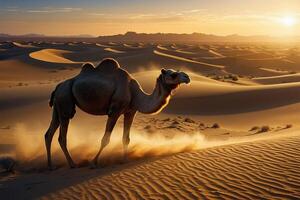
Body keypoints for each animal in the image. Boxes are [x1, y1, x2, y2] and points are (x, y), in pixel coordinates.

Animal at [44, 58, 190, 169]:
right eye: (173, 75)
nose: (187, 77)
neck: (135, 93)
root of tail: (57, 87)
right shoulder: (114, 111)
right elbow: (105, 139)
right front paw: (93, 162)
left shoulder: (130, 112)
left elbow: (126, 138)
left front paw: (124, 160)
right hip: (65, 101)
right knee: (62, 137)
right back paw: (72, 164)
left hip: (58, 106)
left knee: (49, 134)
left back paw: (50, 166)